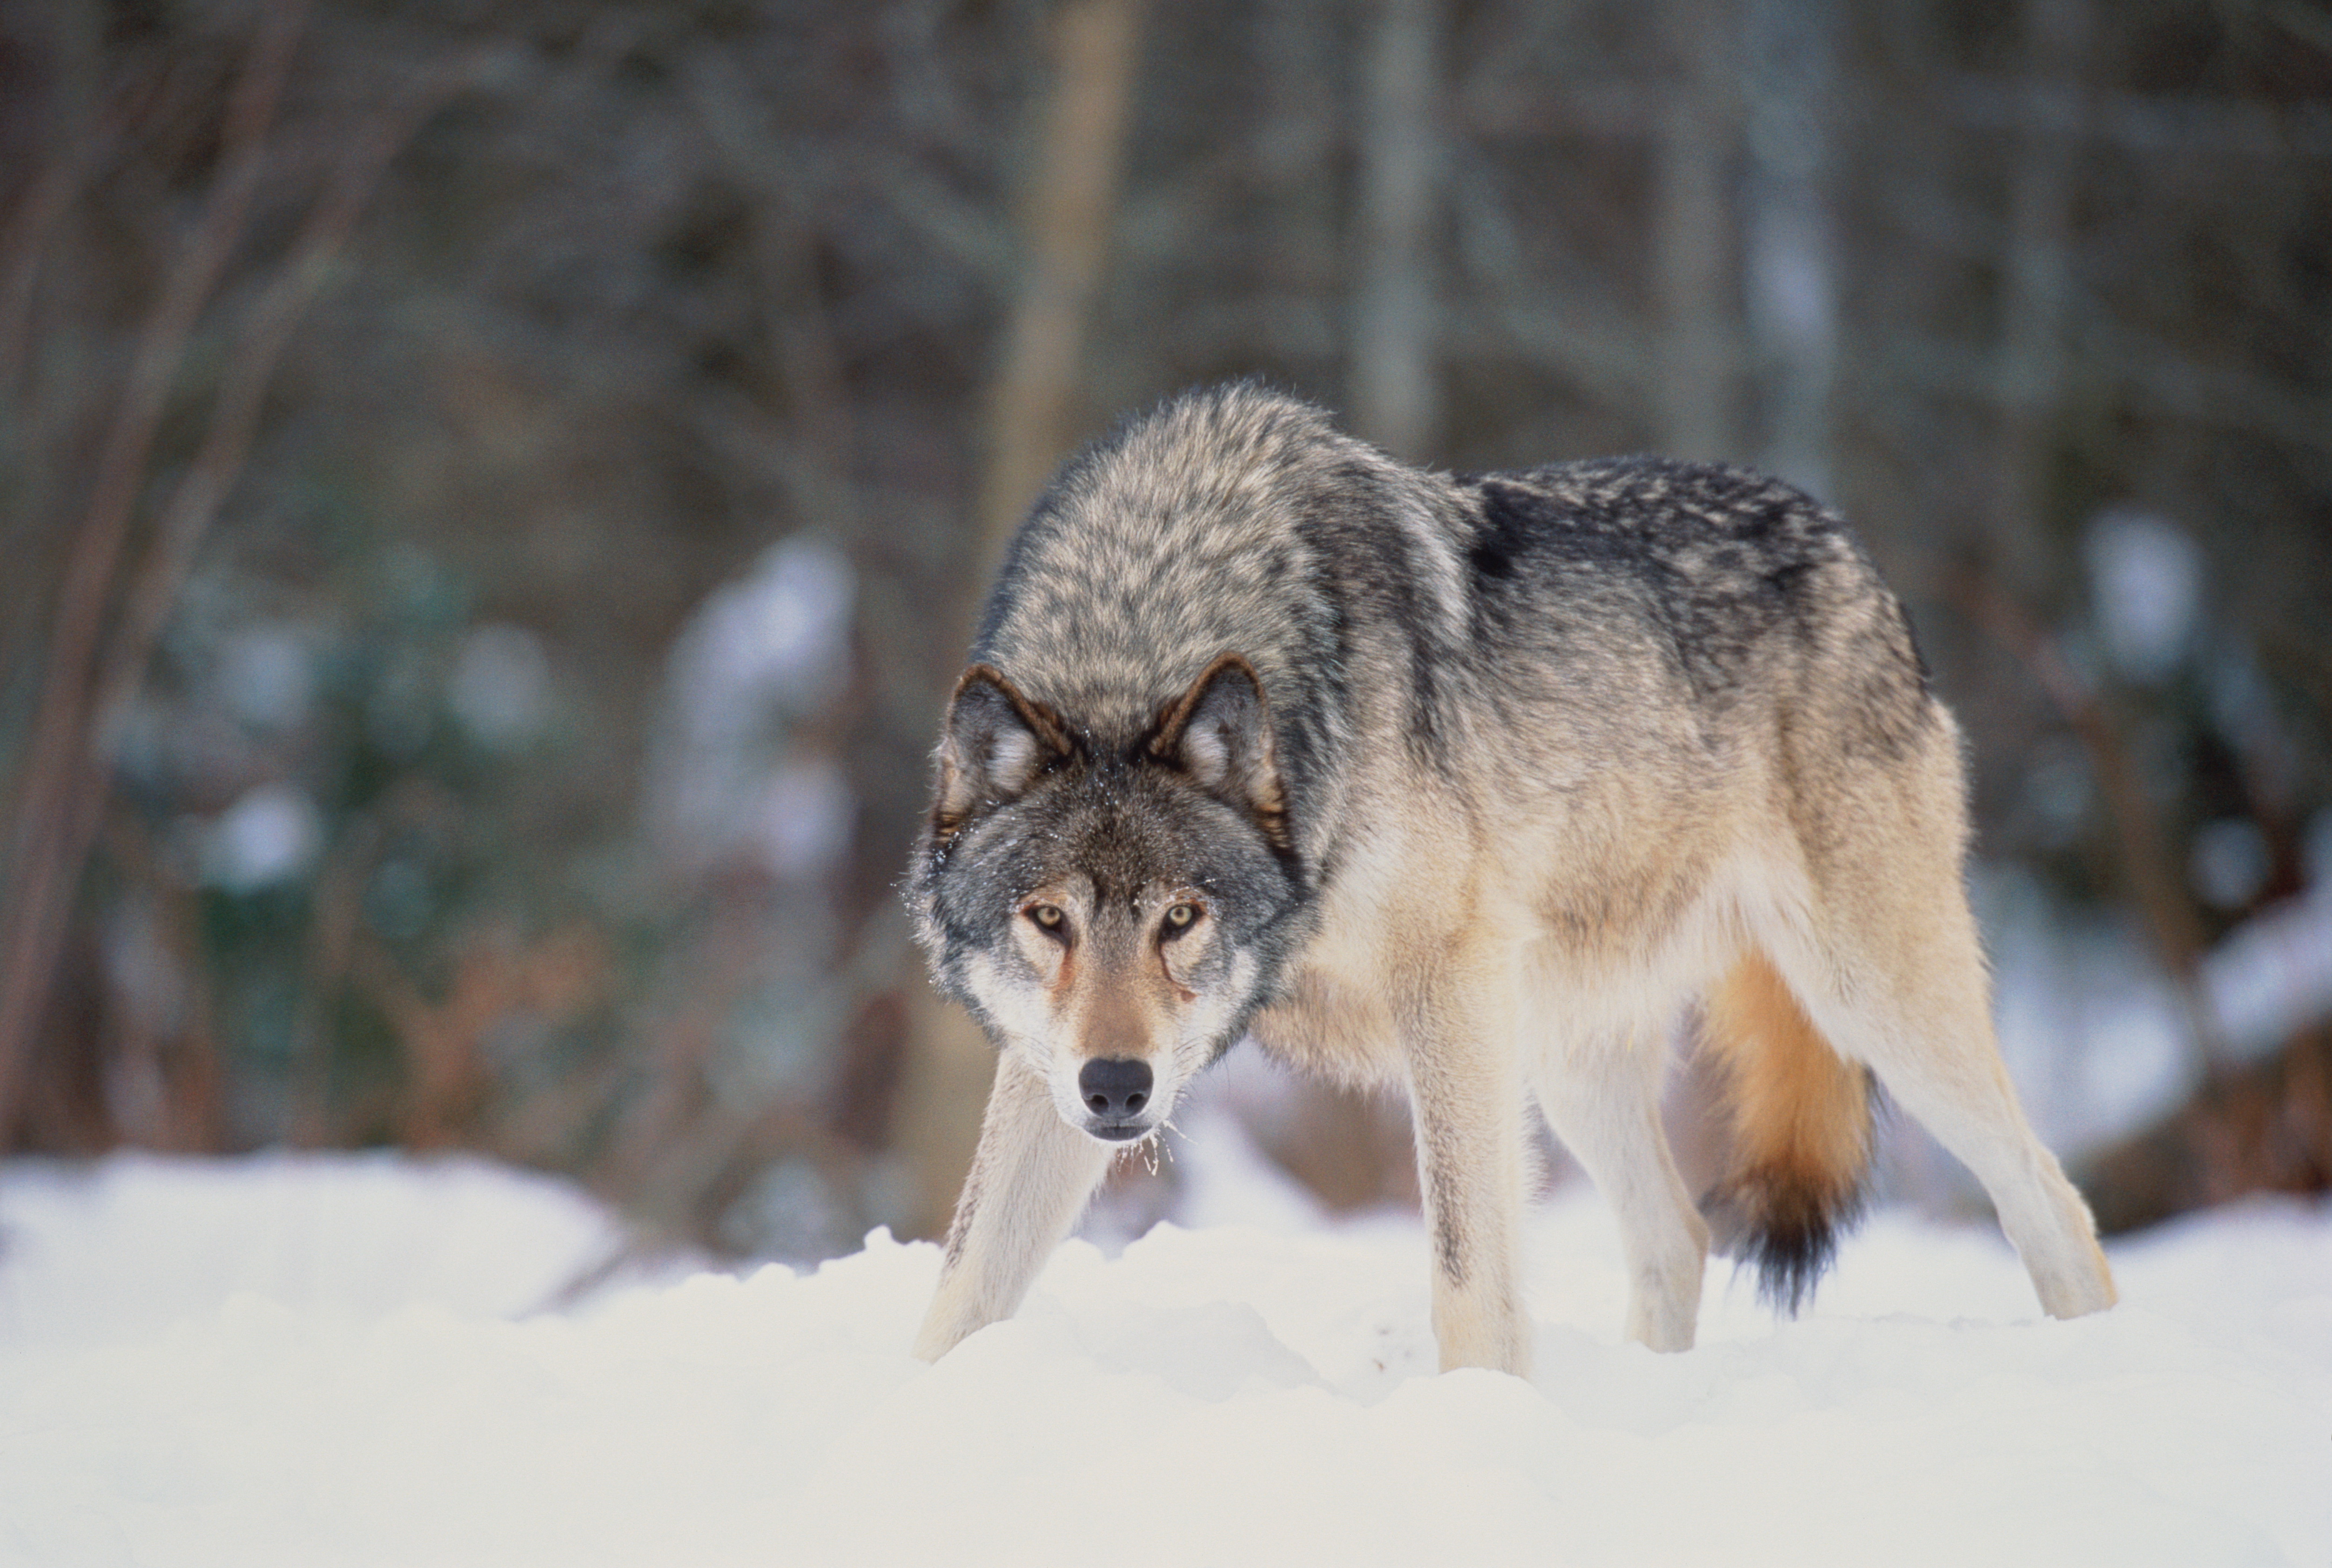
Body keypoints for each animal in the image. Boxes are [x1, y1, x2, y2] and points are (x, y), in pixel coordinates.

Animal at [905, 380, 2117, 1372]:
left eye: (1181, 916)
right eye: (1048, 919)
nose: (1118, 1087)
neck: (1152, 616)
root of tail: (1845, 542)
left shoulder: (1445, 987)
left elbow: (1465, 1275)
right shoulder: (1044, 1062)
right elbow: (961, 1284)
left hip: (1869, 1005)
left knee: (2054, 1203)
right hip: (1563, 1051)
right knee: (1678, 1239)